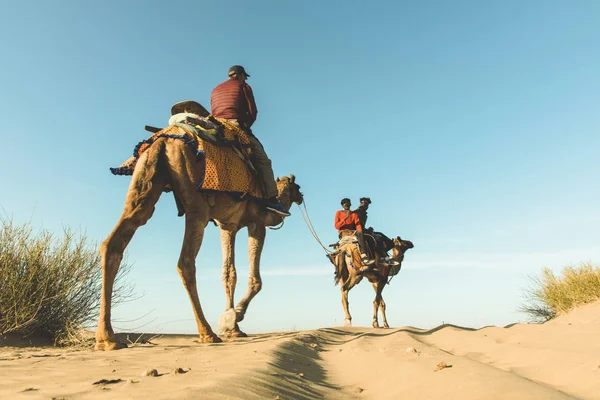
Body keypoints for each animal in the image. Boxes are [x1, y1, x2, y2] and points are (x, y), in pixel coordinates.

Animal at [95, 134, 302, 350]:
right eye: (298, 187)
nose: (302, 197)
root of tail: (165, 142)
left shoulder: (228, 226)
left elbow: (228, 274)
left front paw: (232, 326)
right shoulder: (257, 223)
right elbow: (255, 280)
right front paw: (234, 317)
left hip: (145, 182)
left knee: (113, 243)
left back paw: (107, 339)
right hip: (197, 206)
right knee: (185, 261)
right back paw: (207, 333)